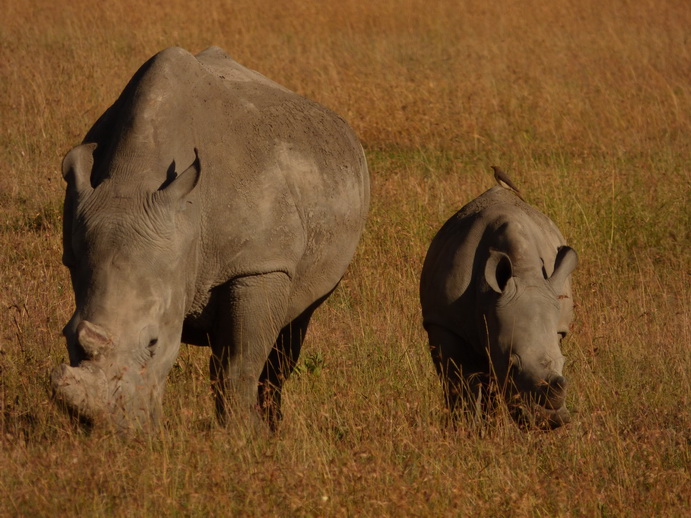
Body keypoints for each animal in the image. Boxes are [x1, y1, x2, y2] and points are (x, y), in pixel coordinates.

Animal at [50, 47, 370, 430]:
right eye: (68, 336)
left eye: (154, 342)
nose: (109, 430)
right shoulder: (78, 254)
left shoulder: (259, 265)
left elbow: (239, 363)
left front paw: (243, 434)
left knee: (292, 329)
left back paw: (273, 426)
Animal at [422, 181, 580, 428]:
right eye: (512, 365)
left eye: (564, 363)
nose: (549, 422)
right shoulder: (445, 323)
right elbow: (460, 385)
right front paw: (465, 428)